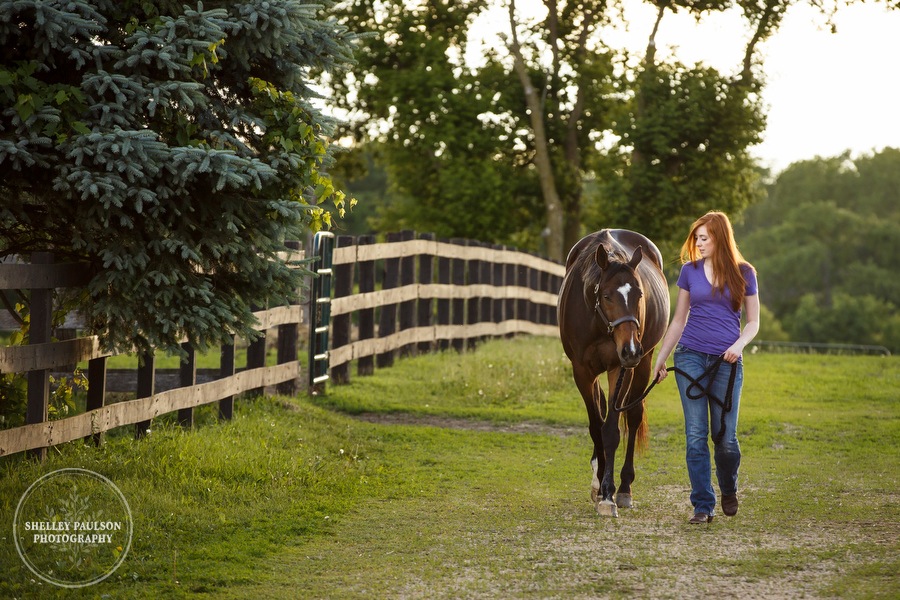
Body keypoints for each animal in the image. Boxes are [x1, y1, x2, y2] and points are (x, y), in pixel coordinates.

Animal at [556, 229, 668, 516]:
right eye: (607, 296)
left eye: (639, 295)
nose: (630, 349)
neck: (597, 321)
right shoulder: (582, 371)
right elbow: (596, 425)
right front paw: (599, 486)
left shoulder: (620, 367)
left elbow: (611, 431)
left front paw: (609, 494)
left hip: (644, 361)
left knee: (633, 415)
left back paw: (625, 488)